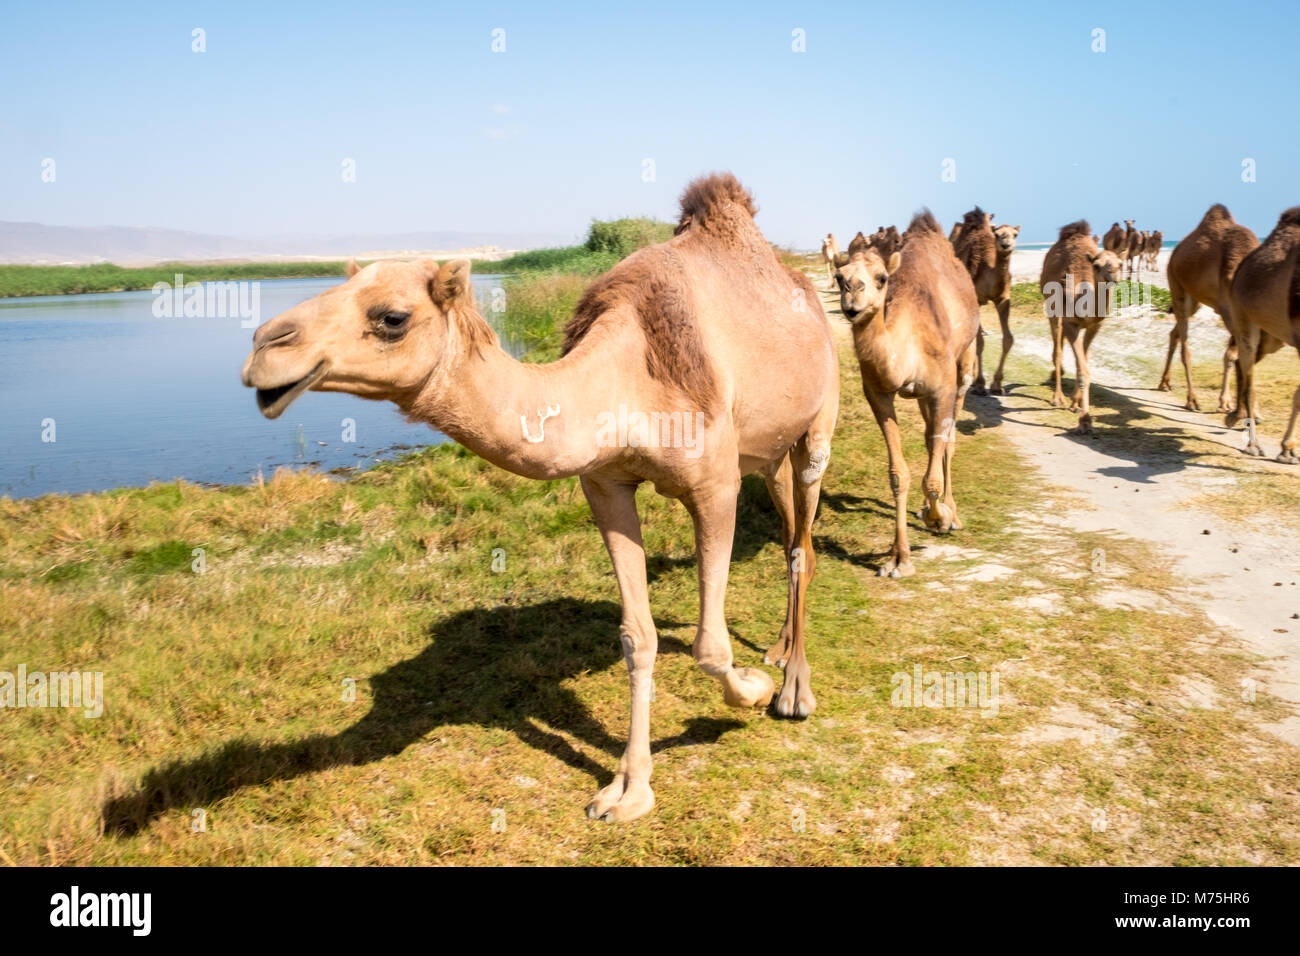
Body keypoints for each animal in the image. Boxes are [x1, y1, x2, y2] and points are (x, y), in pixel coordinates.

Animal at [239, 175, 837, 827]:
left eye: (392, 317)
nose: (264, 346)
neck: (630, 377)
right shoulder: (605, 484)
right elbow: (638, 637)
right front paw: (627, 790)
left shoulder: (715, 484)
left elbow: (708, 645)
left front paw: (752, 692)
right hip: (768, 456)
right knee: (791, 535)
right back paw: (778, 650)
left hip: (817, 425)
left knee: (802, 546)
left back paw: (794, 689)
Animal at [837, 213, 977, 580]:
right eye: (839, 276)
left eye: (881, 278)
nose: (852, 293)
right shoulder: (879, 393)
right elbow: (899, 474)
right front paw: (898, 558)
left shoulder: (943, 387)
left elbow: (933, 476)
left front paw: (939, 518)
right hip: (923, 396)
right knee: (931, 439)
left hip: (964, 365)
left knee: (948, 440)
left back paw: (951, 513)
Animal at [951, 205, 1019, 395]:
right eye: (997, 234)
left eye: (1015, 234)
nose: (1006, 245)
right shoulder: (977, 299)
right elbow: (980, 342)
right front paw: (981, 384)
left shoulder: (1003, 299)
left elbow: (1008, 339)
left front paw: (997, 384)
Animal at [1040, 221, 1123, 434]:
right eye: (1097, 265)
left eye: (1120, 263)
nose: (1113, 276)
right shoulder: (1071, 324)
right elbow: (1083, 370)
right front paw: (1085, 421)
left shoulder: (1094, 326)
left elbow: (1082, 364)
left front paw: (1077, 405)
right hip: (1052, 309)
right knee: (1057, 350)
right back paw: (1057, 398)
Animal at [1227, 208, 1300, 465]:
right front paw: (1287, 451)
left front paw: (1288, 450)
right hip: (1244, 317)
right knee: (1247, 373)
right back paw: (1252, 445)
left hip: (1273, 337)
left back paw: (1232, 417)